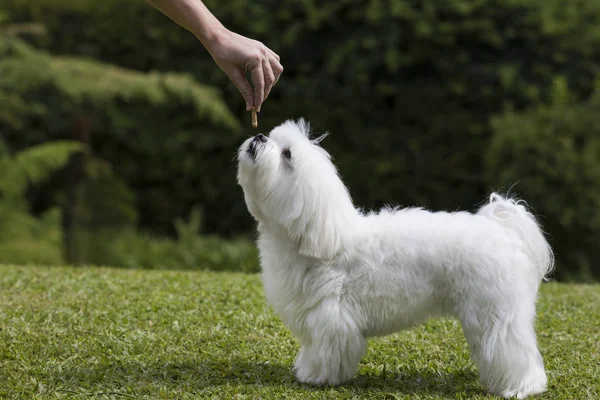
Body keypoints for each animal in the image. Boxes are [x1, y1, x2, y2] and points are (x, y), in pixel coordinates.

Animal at [234, 118, 552, 396]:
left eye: (287, 155)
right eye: (273, 138)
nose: (259, 136)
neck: (321, 236)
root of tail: (503, 231)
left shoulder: (331, 317)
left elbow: (327, 351)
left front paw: (319, 376)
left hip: (494, 314)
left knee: (512, 350)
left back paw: (521, 386)